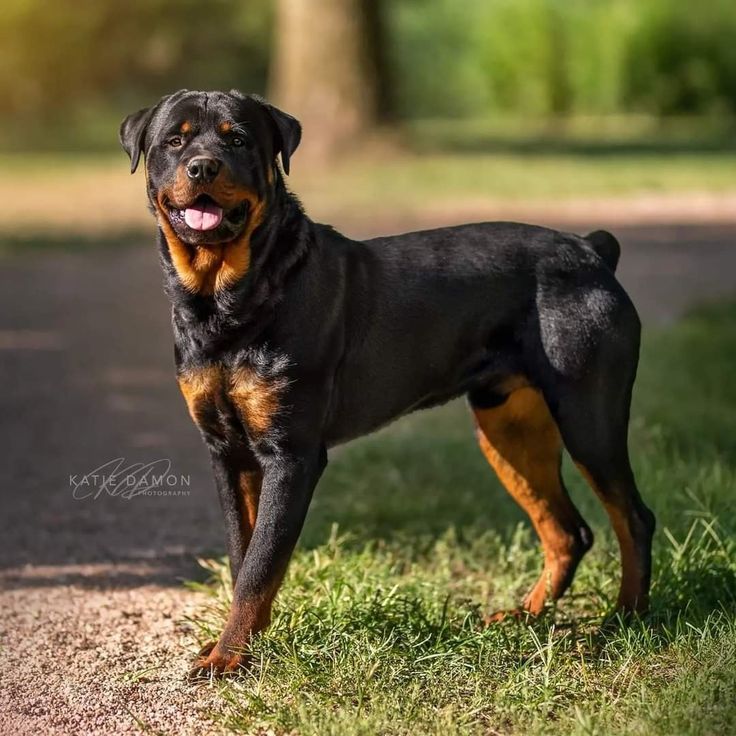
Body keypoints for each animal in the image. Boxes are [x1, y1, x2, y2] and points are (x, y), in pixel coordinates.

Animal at [119, 89, 656, 676]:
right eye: (175, 141)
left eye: (237, 139)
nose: (203, 166)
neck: (225, 298)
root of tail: (592, 250)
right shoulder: (227, 452)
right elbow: (244, 557)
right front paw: (237, 647)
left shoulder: (291, 454)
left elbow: (261, 564)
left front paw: (228, 657)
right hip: (508, 427)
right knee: (567, 531)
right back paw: (523, 617)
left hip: (588, 414)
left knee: (633, 517)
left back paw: (621, 621)